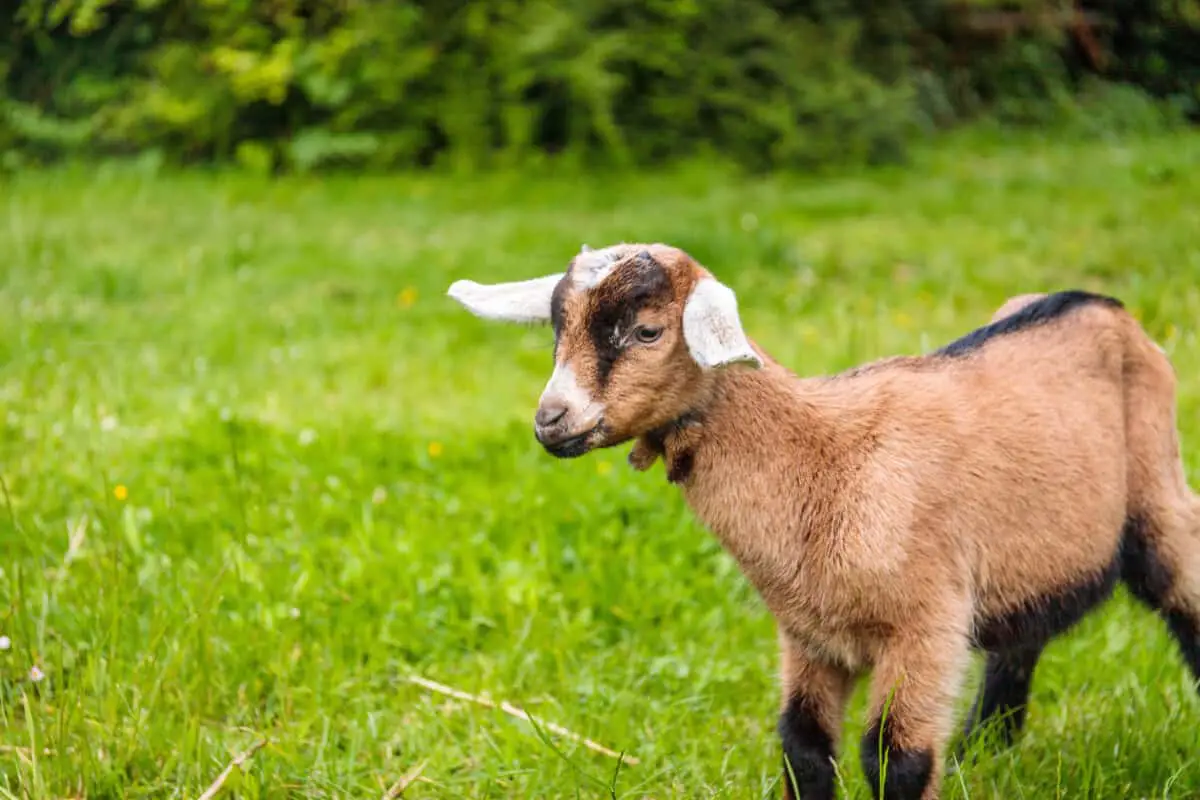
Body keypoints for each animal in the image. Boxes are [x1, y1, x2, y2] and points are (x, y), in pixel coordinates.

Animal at [444, 244, 1200, 800]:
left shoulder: (924, 626)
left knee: (1185, 594)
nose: (551, 421)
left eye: (647, 330)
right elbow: (803, 748)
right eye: (557, 331)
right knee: (1019, 644)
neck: (826, 462)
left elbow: (895, 759)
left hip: (1158, 485)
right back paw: (986, 748)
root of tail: (1097, 303)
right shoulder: (809, 635)